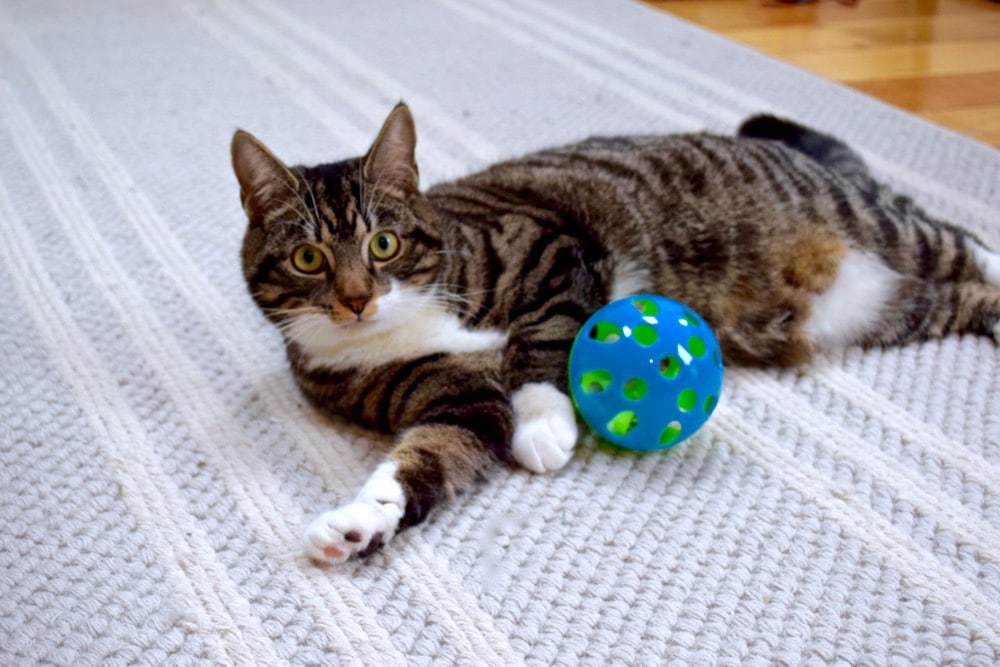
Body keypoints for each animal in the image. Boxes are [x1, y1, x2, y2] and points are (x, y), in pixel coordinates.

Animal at [232, 104, 1000, 564]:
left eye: (384, 243)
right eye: (309, 259)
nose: (357, 299)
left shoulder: (555, 250)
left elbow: (541, 341)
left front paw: (544, 424)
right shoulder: (452, 399)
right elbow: (428, 456)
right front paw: (360, 522)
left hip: (877, 226)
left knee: (962, 240)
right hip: (880, 306)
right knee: (962, 296)